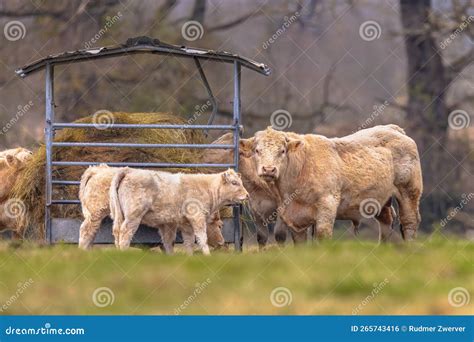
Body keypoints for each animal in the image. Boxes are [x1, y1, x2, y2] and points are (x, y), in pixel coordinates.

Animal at [78, 164, 226, 250]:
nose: (221, 242)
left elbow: (168, 241)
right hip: (97, 213)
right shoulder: (171, 223)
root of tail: (97, 170)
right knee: (87, 231)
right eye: (219, 225)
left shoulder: (167, 223)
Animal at [107, 168, 248, 254]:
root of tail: (129, 170)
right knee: (125, 233)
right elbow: (202, 238)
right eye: (234, 182)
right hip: (133, 217)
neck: (208, 188)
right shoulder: (197, 218)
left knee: (116, 232)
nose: (247, 195)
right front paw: (207, 255)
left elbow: (187, 242)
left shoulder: (184, 225)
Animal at [244, 125, 422, 240]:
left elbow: (323, 235)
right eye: (257, 150)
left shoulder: (327, 203)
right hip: (379, 200)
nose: (269, 169)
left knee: (409, 223)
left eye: (282, 151)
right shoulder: (295, 220)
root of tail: (393, 129)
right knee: (386, 222)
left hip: (409, 192)